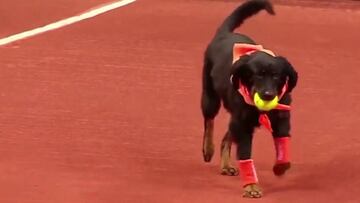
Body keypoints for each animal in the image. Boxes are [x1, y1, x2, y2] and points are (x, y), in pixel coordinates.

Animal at [200, 0, 298, 197]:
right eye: (256, 75)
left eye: (276, 76)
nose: (267, 95)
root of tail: (224, 33)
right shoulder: (243, 126)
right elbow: (245, 154)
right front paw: (251, 186)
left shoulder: (282, 119)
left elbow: (283, 146)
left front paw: (280, 167)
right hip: (210, 97)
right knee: (209, 121)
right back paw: (208, 149)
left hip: (236, 117)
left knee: (227, 136)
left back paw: (226, 165)